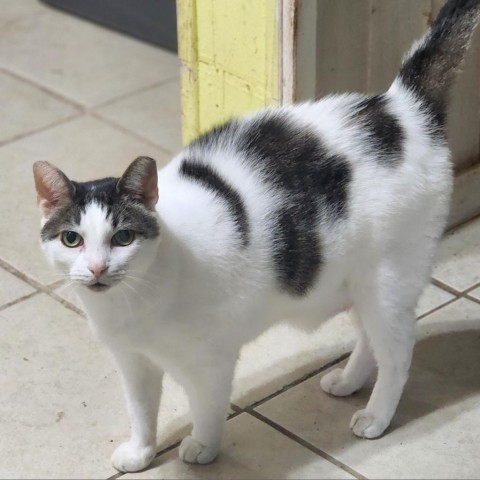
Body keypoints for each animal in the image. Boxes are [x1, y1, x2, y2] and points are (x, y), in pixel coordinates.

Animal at [33, 0, 480, 472]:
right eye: (71, 240)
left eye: (123, 237)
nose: (97, 268)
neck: (135, 300)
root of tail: (400, 107)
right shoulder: (133, 362)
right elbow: (141, 410)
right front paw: (141, 451)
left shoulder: (210, 362)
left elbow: (207, 407)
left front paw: (202, 447)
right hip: (359, 282)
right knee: (369, 339)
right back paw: (349, 382)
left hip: (387, 281)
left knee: (397, 351)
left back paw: (377, 415)